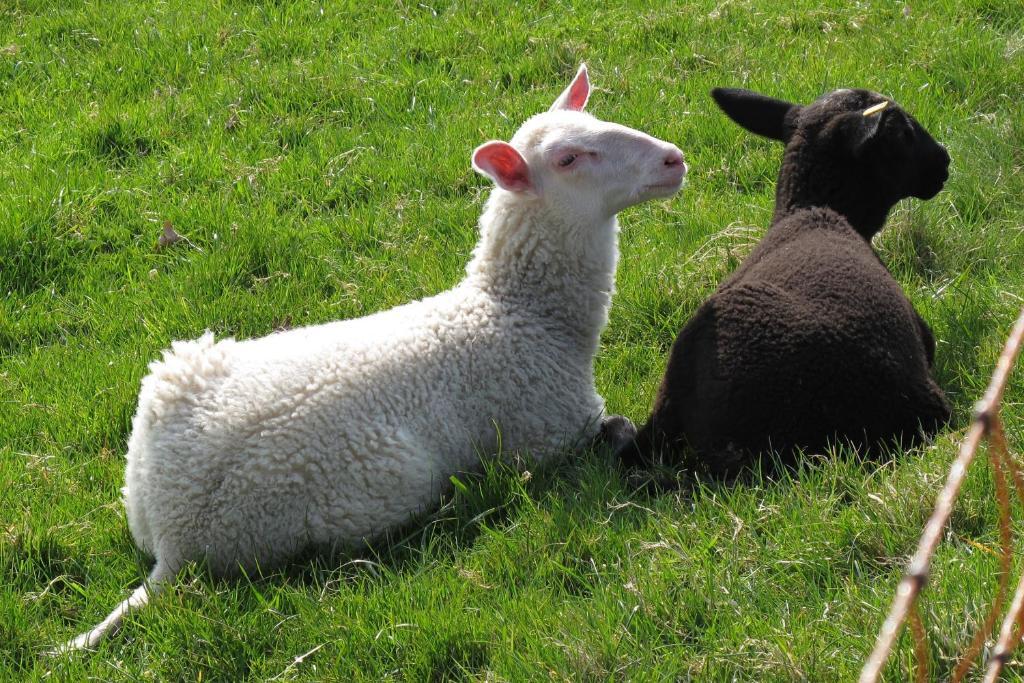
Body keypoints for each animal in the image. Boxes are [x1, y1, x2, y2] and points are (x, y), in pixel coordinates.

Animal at [64, 65, 688, 651]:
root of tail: (176, 542)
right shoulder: (554, 436)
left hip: (173, 383)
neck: (518, 313)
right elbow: (612, 433)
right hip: (380, 489)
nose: (674, 159)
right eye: (568, 158)